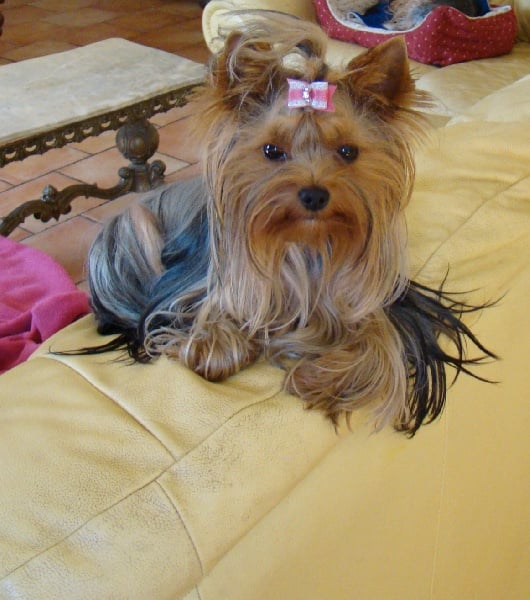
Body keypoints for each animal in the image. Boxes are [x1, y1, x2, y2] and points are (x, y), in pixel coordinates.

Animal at [86, 14, 494, 435]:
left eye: (348, 151)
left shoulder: (377, 304)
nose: (313, 195)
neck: (305, 243)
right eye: (271, 150)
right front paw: (217, 347)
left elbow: (379, 345)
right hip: (132, 228)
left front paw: (315, 376)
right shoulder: (201, 288)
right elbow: (213, 323)